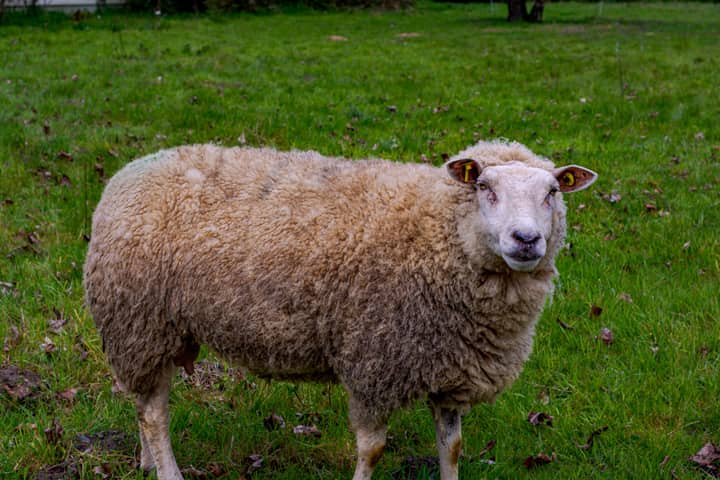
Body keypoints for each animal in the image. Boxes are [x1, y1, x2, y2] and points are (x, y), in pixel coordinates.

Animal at [83, 140, 597, 480]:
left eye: (553, 192)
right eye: (485, 187)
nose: (526, 239)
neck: (436, 233)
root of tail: (129, 172)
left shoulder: (450, 369)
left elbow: (452, 448)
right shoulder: (373, 360)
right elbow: (372, 450)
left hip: (156, 329)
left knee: (146, 403)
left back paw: (147, 461)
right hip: (139, 320)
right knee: (153, 413)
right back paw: (167, 471)